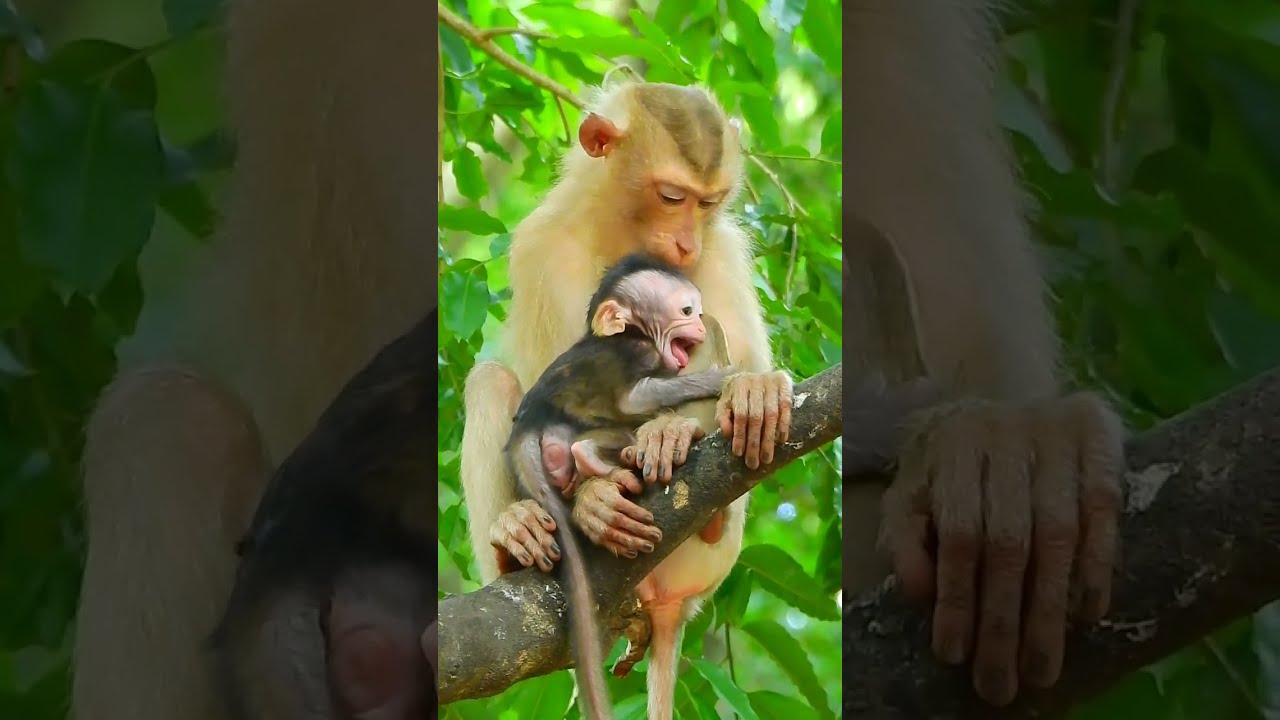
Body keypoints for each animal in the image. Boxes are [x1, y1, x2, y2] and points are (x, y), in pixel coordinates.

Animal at [504, 254, 737, 720]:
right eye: (687, 311)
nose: (700, 326)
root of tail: (527, 429)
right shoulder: (634, 353)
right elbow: (636, 398)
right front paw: (717, 379)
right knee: (610, 426)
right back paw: (599, 457)